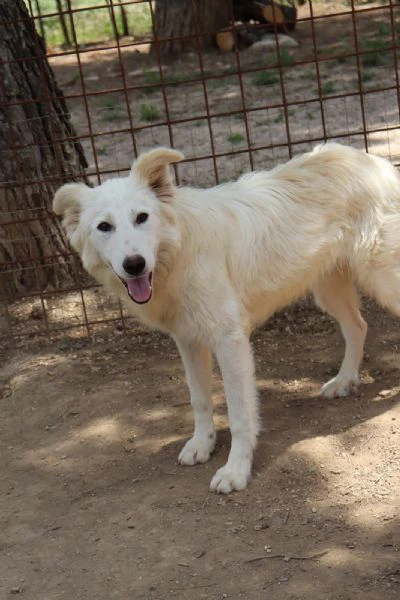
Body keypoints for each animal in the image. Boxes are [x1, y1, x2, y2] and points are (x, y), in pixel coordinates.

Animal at [53, 144, 400, 492]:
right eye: (104, 227)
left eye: (141, 217)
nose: (134, 264)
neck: (177, 254)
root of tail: (377, 163)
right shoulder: (187, 340)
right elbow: (199, 399)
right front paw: (201, 445)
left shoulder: (230, 341)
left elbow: (239, 415)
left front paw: (235, 470)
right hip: (328, 290)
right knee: (358, 326)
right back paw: (344, 380)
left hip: (381, 281)